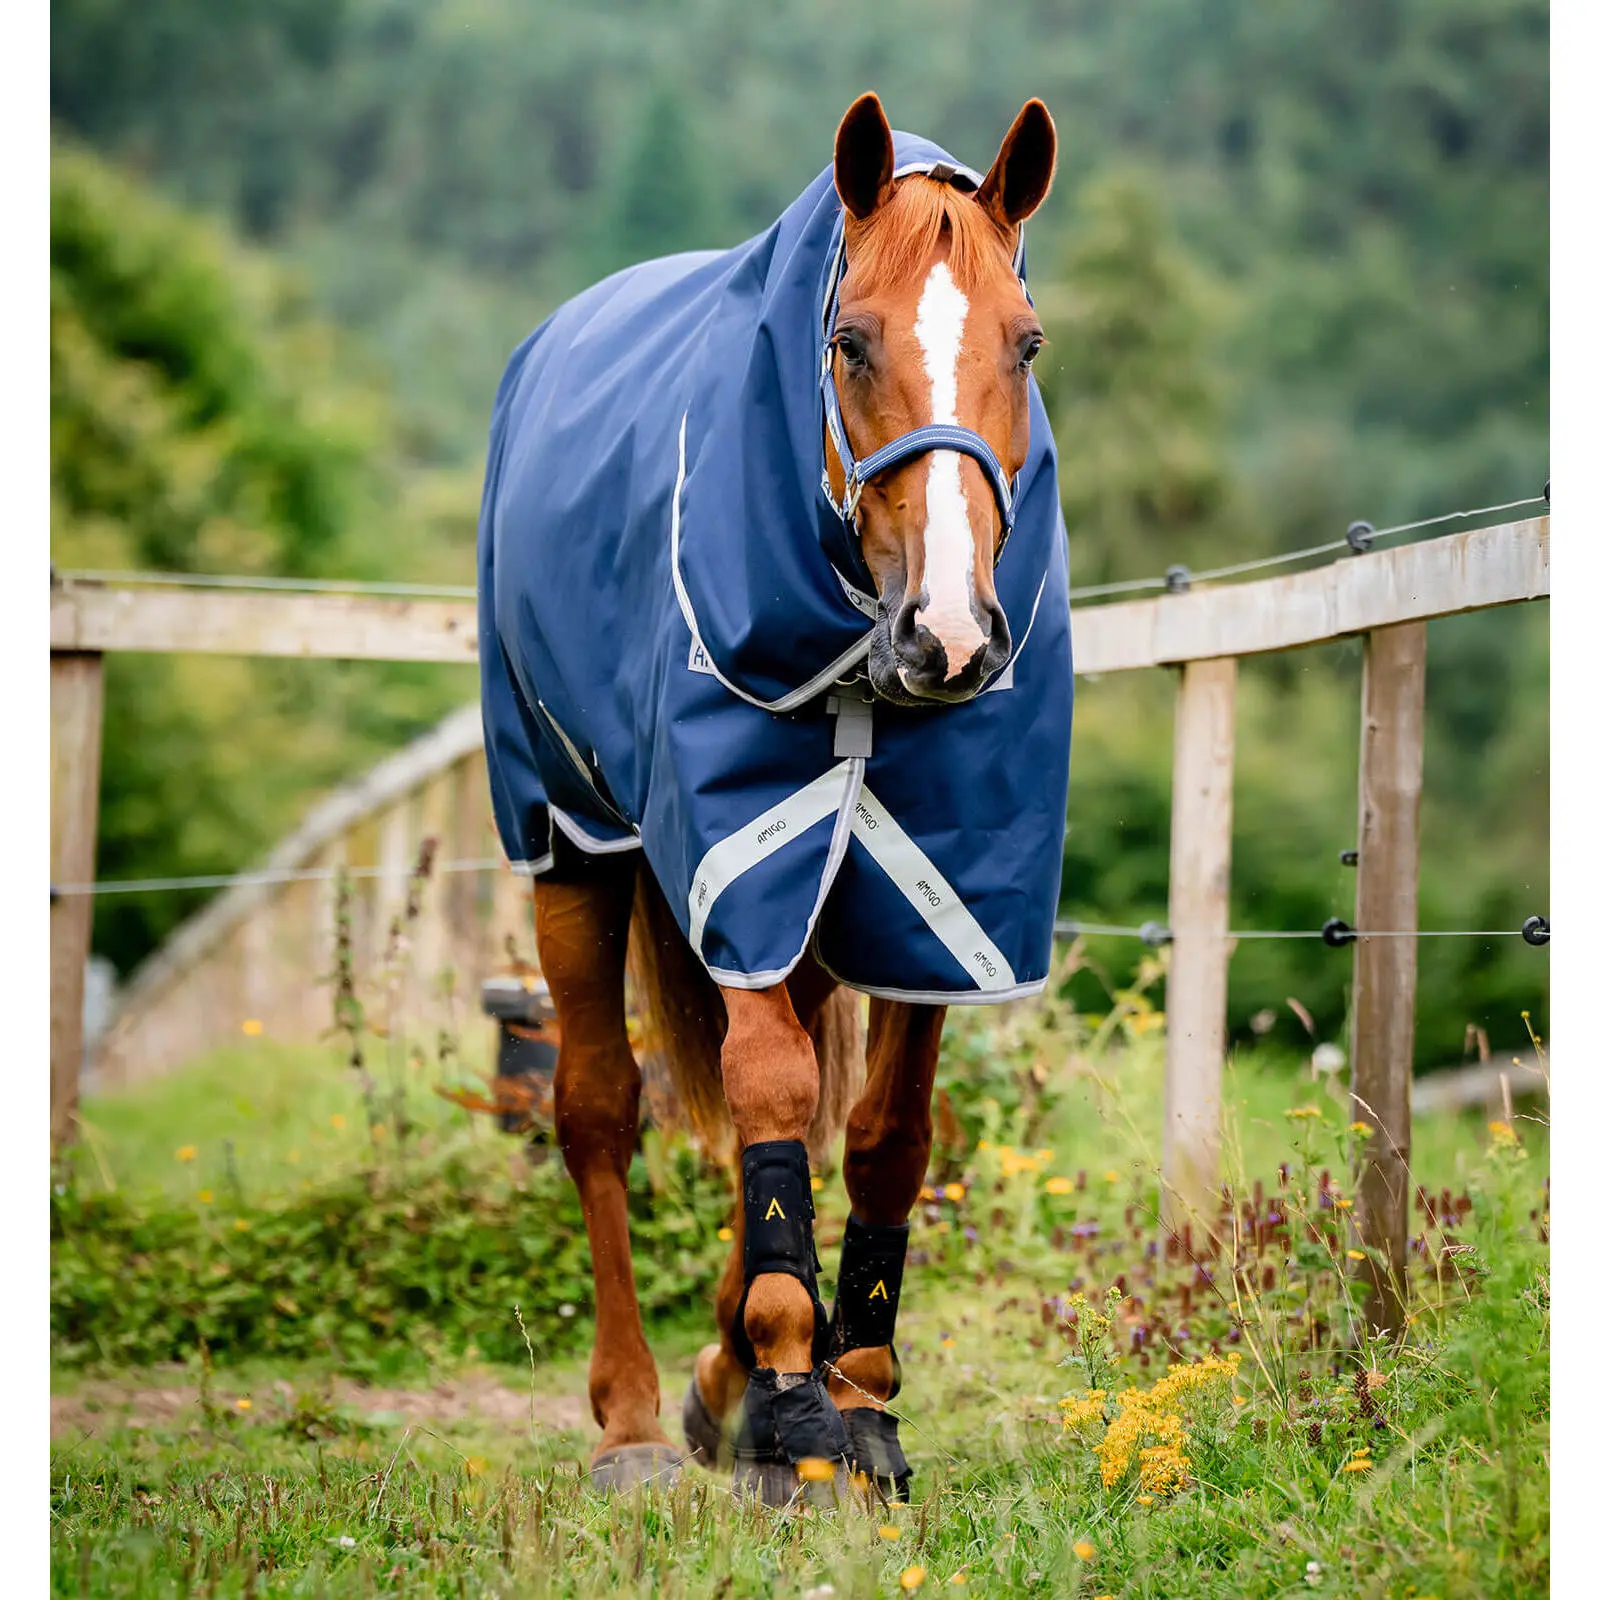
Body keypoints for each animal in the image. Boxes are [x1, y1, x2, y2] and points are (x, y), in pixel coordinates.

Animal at [476, 91, 1073, 1502]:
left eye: (1026, 344)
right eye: (848, 341)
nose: (951, 637)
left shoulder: (941, 895)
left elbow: (883, 1132)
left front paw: (854, 1386)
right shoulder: (737, 858)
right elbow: (762, 1093)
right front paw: (796, 1393)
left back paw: (718, 1372)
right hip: (572, 841)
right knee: (597, 1108)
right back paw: (636, 1415)